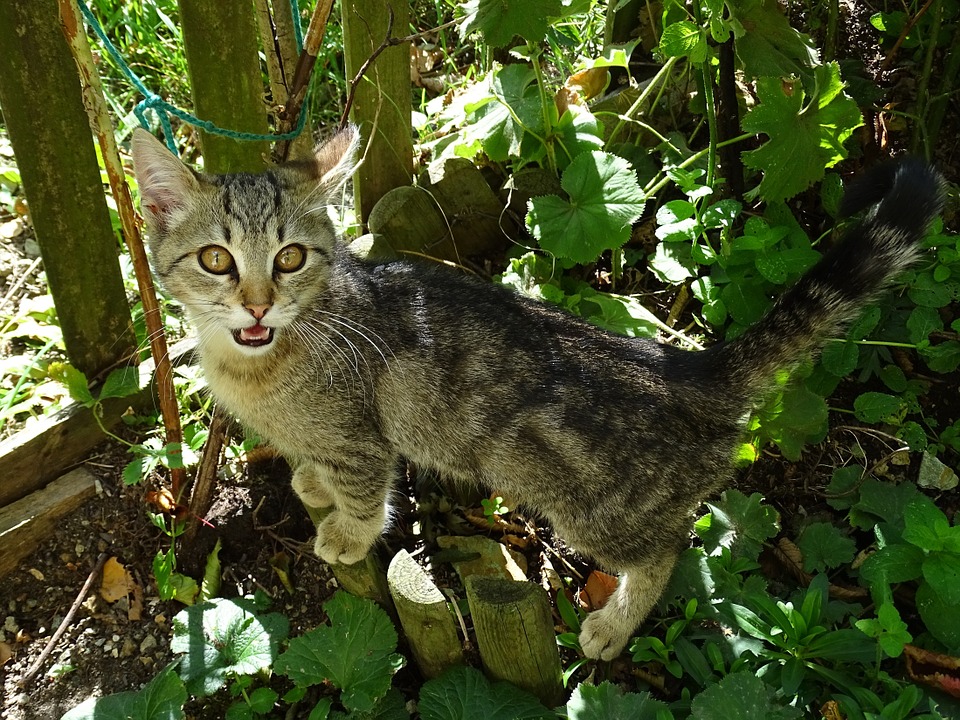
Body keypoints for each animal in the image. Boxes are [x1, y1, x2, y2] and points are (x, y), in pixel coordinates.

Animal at [133, 124, 944, 660]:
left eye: (291, 258)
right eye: (216, 260)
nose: (258, 304)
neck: (261, 364)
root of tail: (688, 366)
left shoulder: (362, 438)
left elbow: (367, 489)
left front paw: (346, 533)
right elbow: (322, 469)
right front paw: (311, 482)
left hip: (598, 512)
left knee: (668, 550)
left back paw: (614, 627)